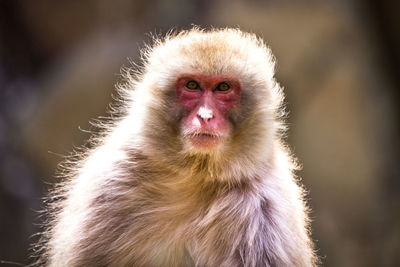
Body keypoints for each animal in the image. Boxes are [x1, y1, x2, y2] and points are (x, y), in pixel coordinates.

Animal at [32, 28, 318, 266]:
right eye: (192, 85)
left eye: (223, 87)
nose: (205, 116)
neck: (198, 175)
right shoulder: (113, 180)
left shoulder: (264, 212)